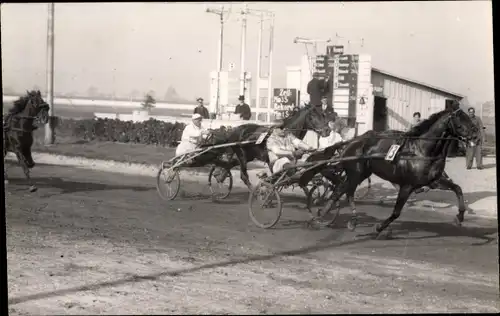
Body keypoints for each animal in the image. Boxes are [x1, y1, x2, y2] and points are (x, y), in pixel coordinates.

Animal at [310, 102, 478, 238]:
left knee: (342, 190)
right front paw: (379, 228)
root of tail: (352, 141)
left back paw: (337, 217)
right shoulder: (407, 185)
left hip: (361, 173)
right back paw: (332, 217)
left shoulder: (434, 181)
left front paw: (460, 216)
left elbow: (457, 188)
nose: (476, 134)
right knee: (345, 191)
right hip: (356, 173)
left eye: (468, 117)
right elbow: (396, 212)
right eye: (461, 119)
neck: (421, 151)